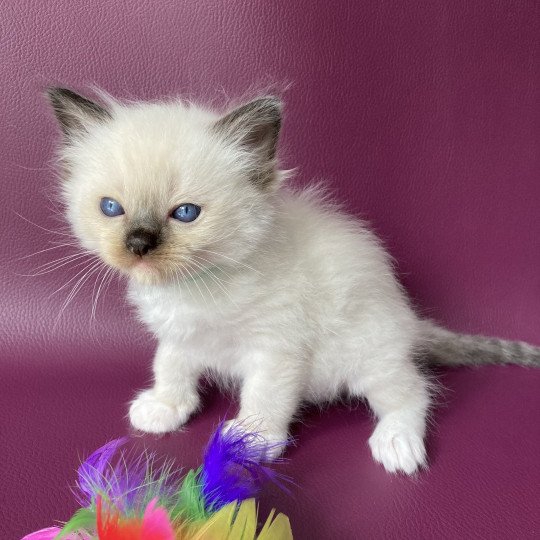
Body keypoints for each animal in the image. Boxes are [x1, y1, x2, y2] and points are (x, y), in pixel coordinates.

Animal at [46, 87, 540, 472]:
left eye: (185, 213)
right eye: (111, 208)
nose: (139, 243)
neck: (195, 286)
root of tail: (408, 320)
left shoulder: (275, 348)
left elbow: (263, 398)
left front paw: (252, 441)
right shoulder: (179, 337)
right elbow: (169, 367)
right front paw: (166, 408)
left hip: (368, 355)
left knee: (412, 393)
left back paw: (397, 444)